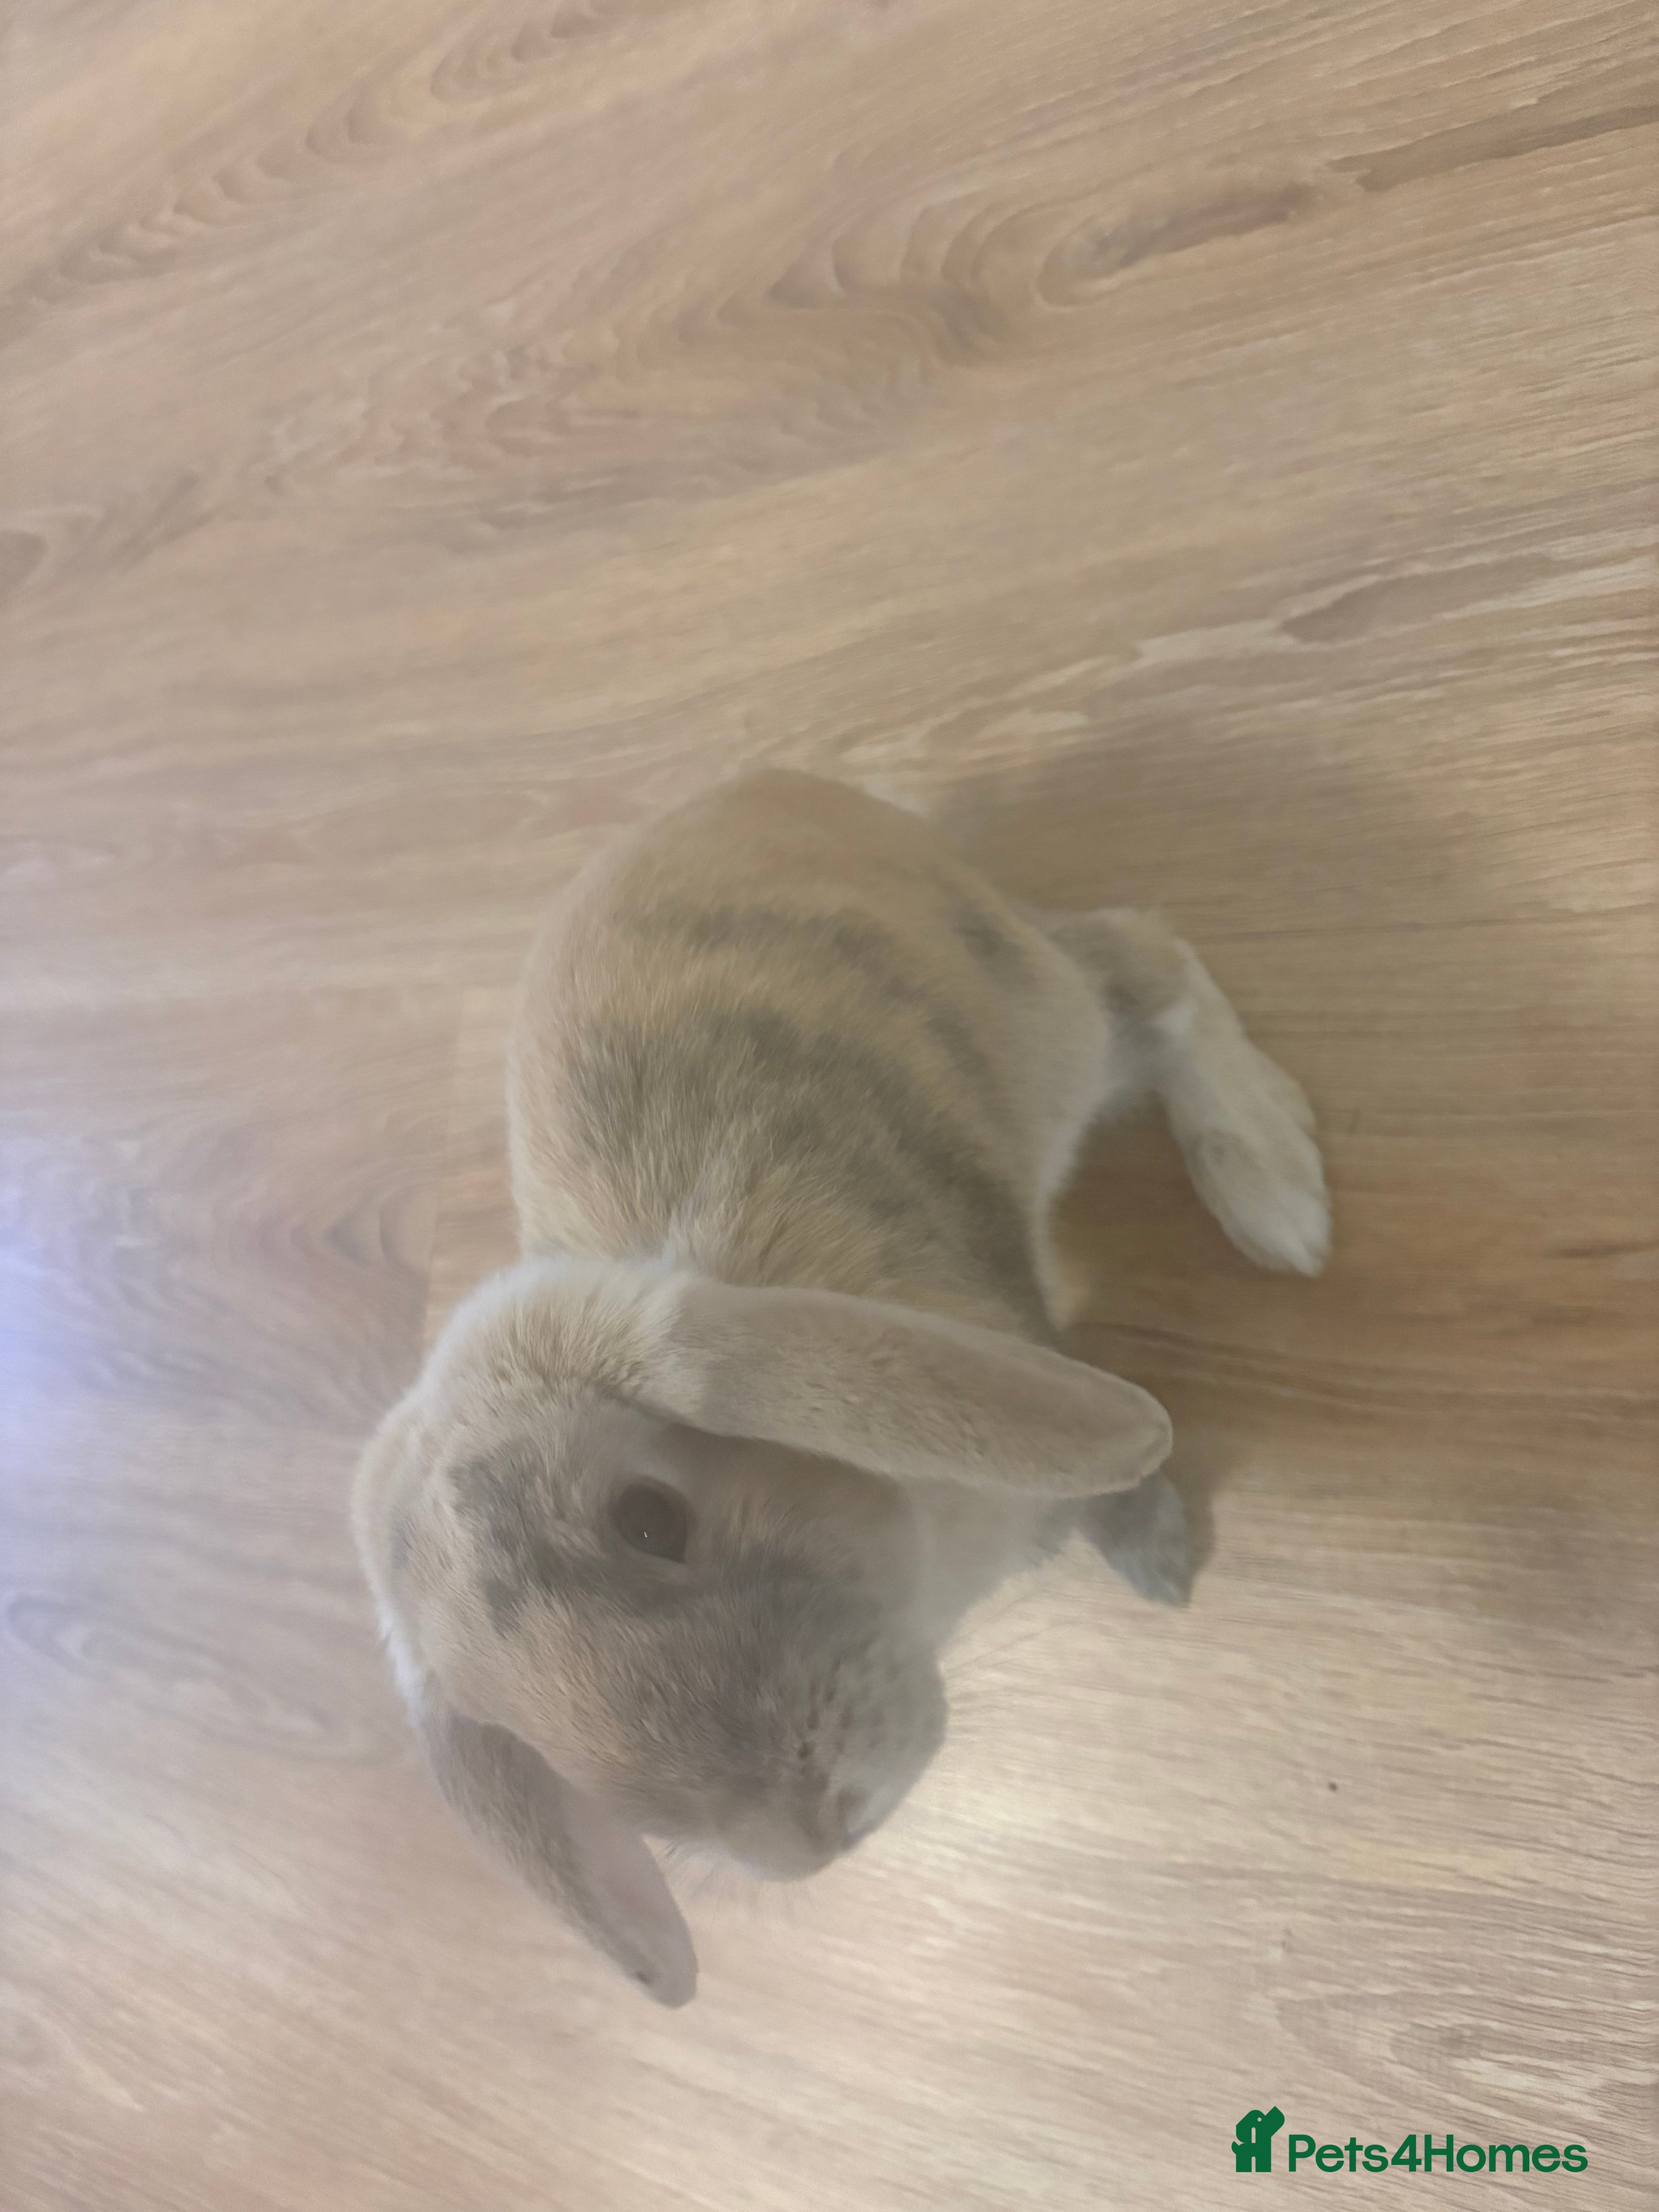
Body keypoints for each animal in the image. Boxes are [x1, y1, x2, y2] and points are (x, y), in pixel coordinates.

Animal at [353, 771, 1328, 2006]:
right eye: (510, 1724)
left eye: (650, 1518)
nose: (810, 1836)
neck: (916, 1547)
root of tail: (766, 790)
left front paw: (1158, 1560)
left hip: (1046, 1013)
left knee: (1145, 960)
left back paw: (1276, 1192)